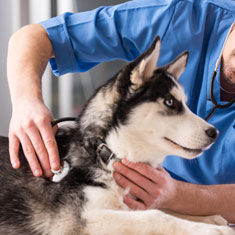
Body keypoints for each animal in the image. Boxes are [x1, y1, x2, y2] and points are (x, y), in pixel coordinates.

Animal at [0, 35, 233, 234]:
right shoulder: (78, 221)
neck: (107, 153)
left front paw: (209, 217)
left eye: (185, 103)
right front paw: (210, 229)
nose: (214, 133)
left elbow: (162, 207)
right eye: (169, 102)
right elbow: (155, 215)